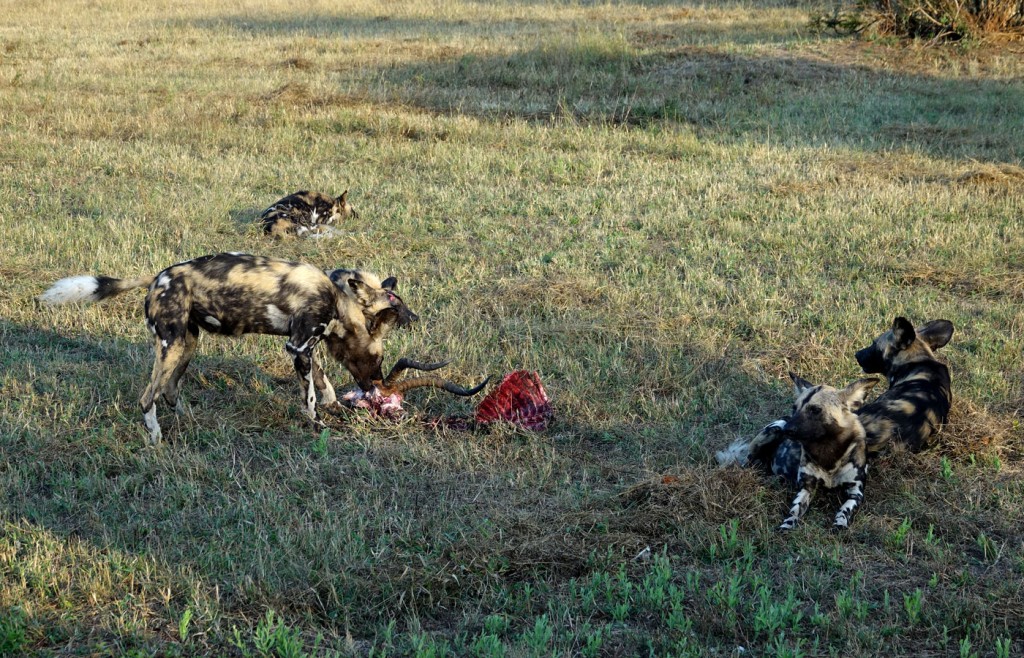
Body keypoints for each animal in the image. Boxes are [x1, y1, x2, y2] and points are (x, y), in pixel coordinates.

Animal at [38, 252, 415, 442]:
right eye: (379, 357)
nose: (375, 386)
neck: (339, 300)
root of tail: (156, 277)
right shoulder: (298, 346)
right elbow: (308, 396)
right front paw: (318, 424)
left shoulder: (304, 348)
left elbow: (321, 380)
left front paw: (332, 403)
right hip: (173, 344)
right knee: (148, 397)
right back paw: (156, 437)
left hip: (187, 343)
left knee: (170, 390)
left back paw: (189, 419)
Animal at [774, 372, 880, 532]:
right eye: (794, 408)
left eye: (815, 410)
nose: (787, 429)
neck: (826, 448)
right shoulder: (806, 487)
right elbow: (794, 509)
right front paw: (787, 524)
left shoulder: (856, 492)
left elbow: (844, 509)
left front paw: (840, 523)